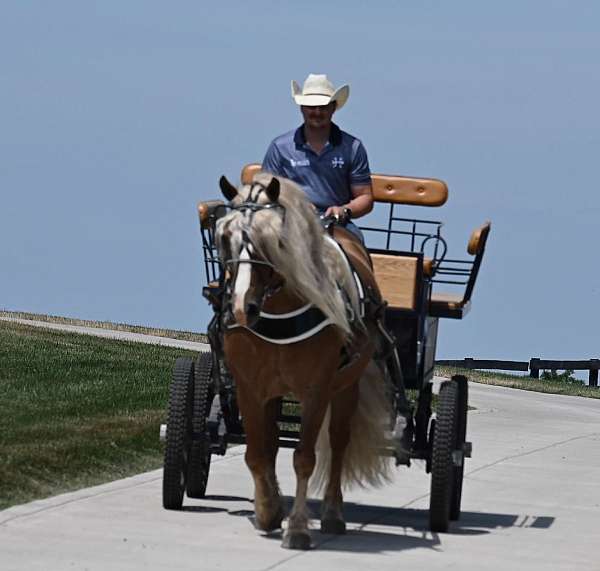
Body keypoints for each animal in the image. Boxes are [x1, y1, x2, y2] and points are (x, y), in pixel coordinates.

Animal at [213, 173, 392, 548]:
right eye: (224, 238)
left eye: (276, 241)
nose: (242, 308)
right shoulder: (249, 387)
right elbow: (258, 452)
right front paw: (267, 510)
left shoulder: (317, 390)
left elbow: (304, 458)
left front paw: (296, 527)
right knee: (271, 441)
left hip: (346, 386)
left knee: (338, 444)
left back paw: (333, 514)